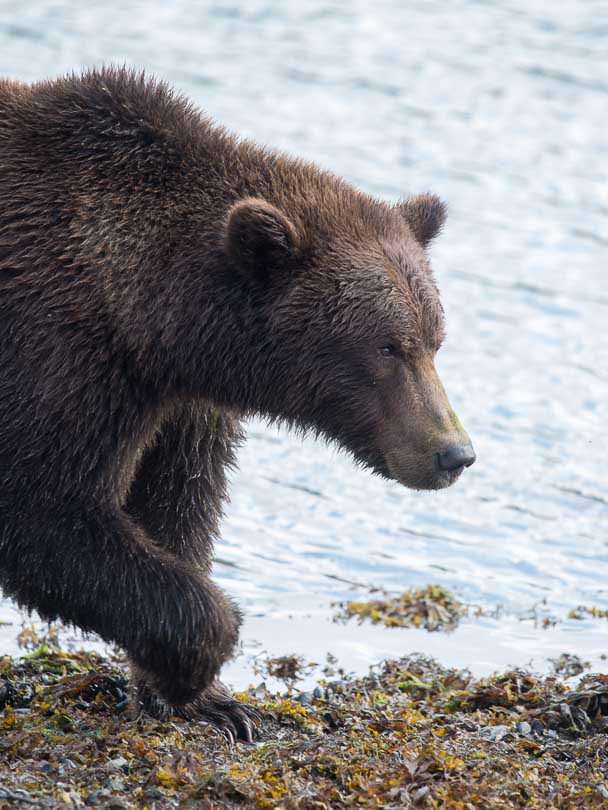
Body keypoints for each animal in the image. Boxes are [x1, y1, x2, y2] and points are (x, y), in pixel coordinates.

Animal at [0, 68, 476, 740]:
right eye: (387, 346)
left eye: (435, 339)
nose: (453, 453)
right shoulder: (57, 351)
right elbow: (43, 508)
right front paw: (197, 665)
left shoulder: (179, 405)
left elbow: (178, 507)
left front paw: (208, 701)